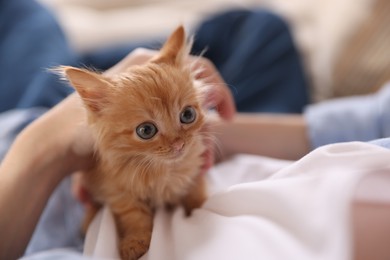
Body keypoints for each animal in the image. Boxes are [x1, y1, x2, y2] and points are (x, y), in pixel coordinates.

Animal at [59, 26, 209, 260]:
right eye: (146, 131)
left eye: (187, 115)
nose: (178, 145)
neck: (162, 171)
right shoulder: (115, 189)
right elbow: (134, 215)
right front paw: (135, 242)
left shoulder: (195, 170)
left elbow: (196, 193)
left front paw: (200, 209)